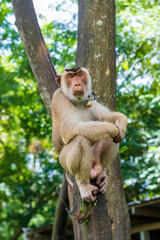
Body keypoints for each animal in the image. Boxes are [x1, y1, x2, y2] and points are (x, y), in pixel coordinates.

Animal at [51, 67, 127, 202]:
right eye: (71, 76)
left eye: (80, 74)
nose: (77, 84)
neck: (77, 101)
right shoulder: (58, 97)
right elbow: (70, 128)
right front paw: (112, 128)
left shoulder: (90, 101)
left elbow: (108, 117)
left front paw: (121, 125)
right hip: (64, 160)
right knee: (80, 139)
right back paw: (83, 184)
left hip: (95, 158)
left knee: (110, 138)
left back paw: (101, 173)